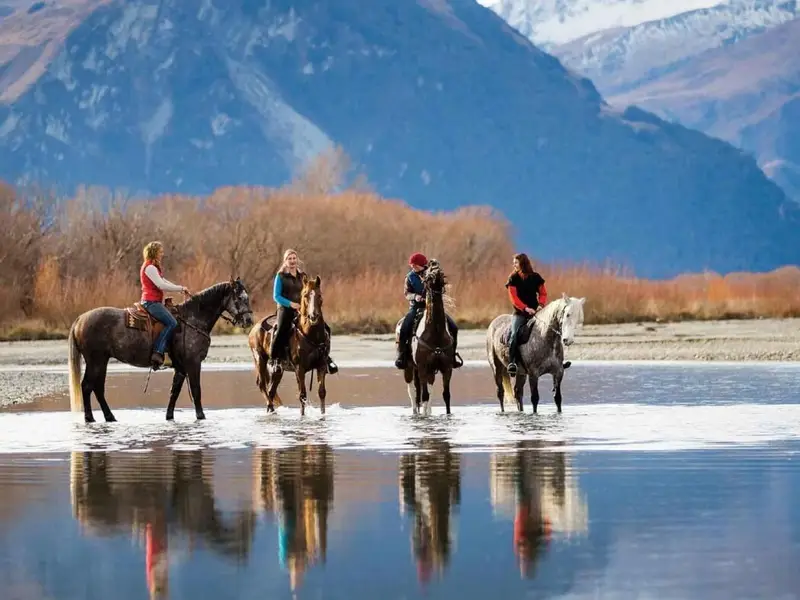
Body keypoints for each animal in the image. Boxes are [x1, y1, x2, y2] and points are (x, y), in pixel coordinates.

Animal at [67, 278, 254, 423]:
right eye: (240, 297)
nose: (248, 320)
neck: (193, 319)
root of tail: (80, 319)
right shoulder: (193, 364)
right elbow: (196, 390)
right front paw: (201, 416)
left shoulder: (181, 368)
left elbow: (174, 392)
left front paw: (169, 416)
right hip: (96, 361)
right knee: (87, 386)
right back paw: (90, 418)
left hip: (102, 361)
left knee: (97, 388)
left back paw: (109, 417)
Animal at [248, 274, 331, 416]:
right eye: (305, 295)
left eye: (319, 295)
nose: (313, 316)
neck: (311, 335)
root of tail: (254, 328)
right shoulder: (299, 369)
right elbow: (302, 395)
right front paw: (302, 417)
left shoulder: (321, 365)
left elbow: (322, 392)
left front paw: (322, 415)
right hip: (260, 359)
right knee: (262, 384)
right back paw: (271, 408)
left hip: (277, 370)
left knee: (271, 390)